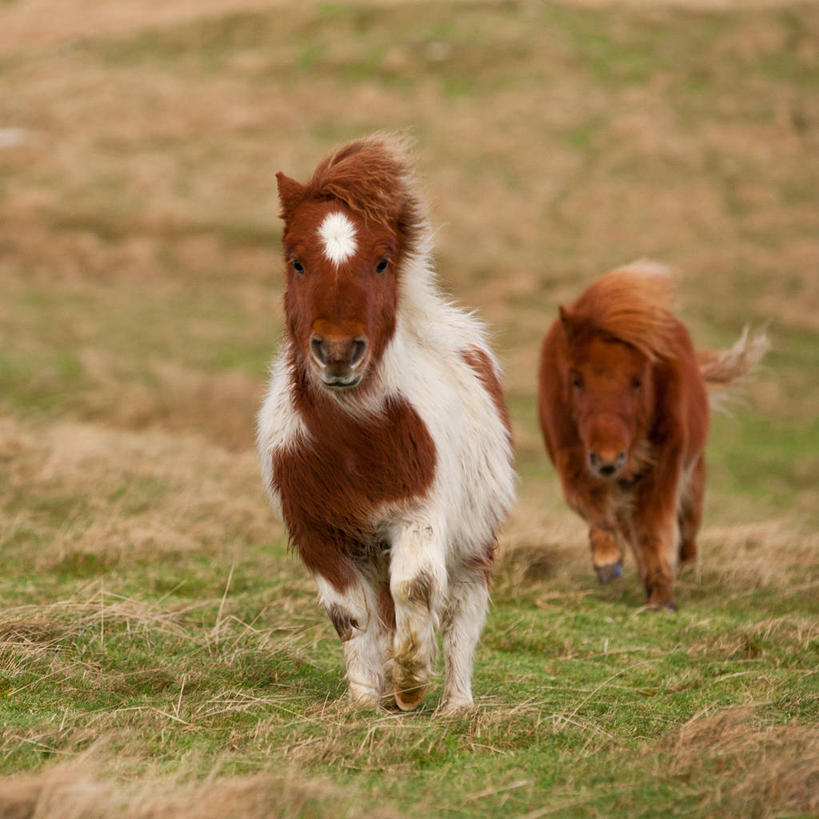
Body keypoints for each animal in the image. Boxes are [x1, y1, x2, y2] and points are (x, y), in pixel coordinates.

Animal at [256, 135, 516, 712]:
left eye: (382, 262)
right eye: (296, 262)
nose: (337, 353)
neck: (356, 444)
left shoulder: (419, 516)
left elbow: (416, 588)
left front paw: (411, 681)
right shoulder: (321, 534)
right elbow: (351, 617)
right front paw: (364, 700)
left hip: (473, 543)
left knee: (462, 616)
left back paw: (456, 706)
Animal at [540, 262, 768, 608]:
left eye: (638, 381)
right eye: (576, 380)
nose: (608, 458)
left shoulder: (663, 468)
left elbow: (655, 529)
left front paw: (662, 597)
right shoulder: (573, 460)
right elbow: (591, 506)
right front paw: (608, 562)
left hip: (691, 481)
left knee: (686, 530)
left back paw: (687, 570)